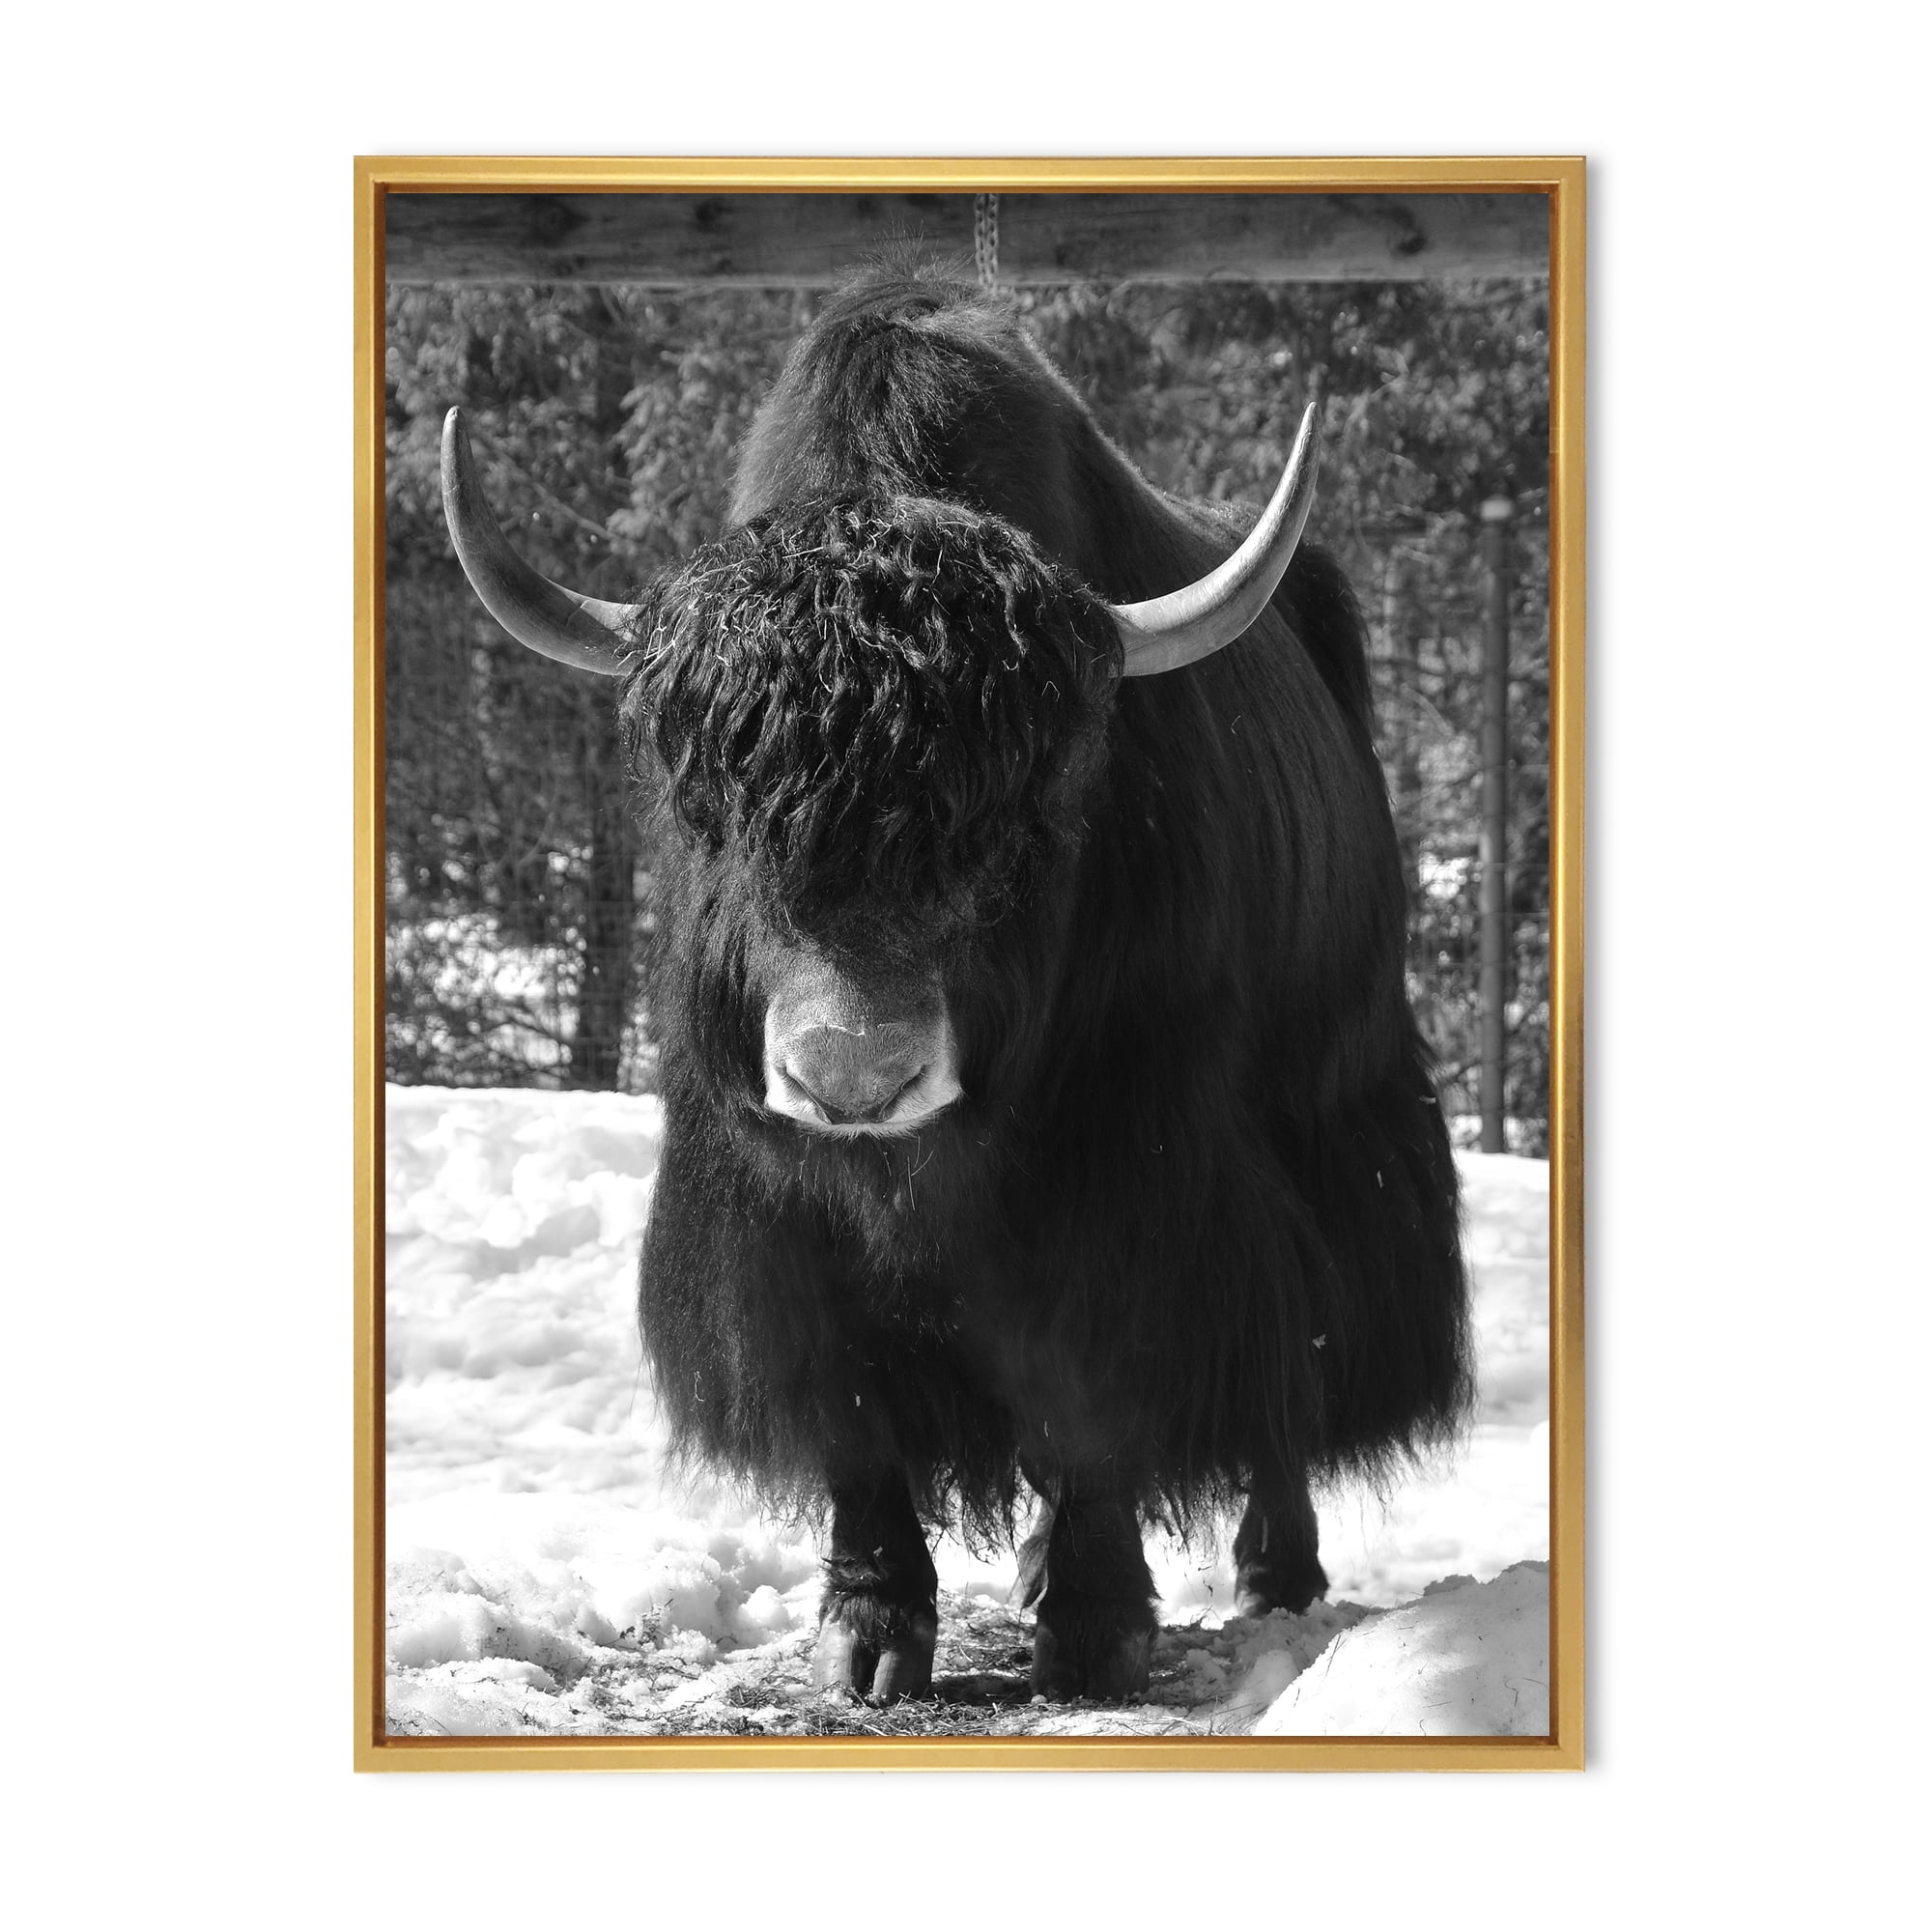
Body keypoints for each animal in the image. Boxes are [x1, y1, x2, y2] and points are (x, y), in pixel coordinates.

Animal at [439, 258, 1472, 1703]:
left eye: (1024, 816)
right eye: (713, 807)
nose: (853, 1077)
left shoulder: (1133, 1176)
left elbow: (1095, 1385)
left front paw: (1092, 1630)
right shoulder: (768, 1205)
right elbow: (849, 1404)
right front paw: (869, 1634)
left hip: (1335, 1109)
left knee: (1295, 1357)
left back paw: (1278, 1573)